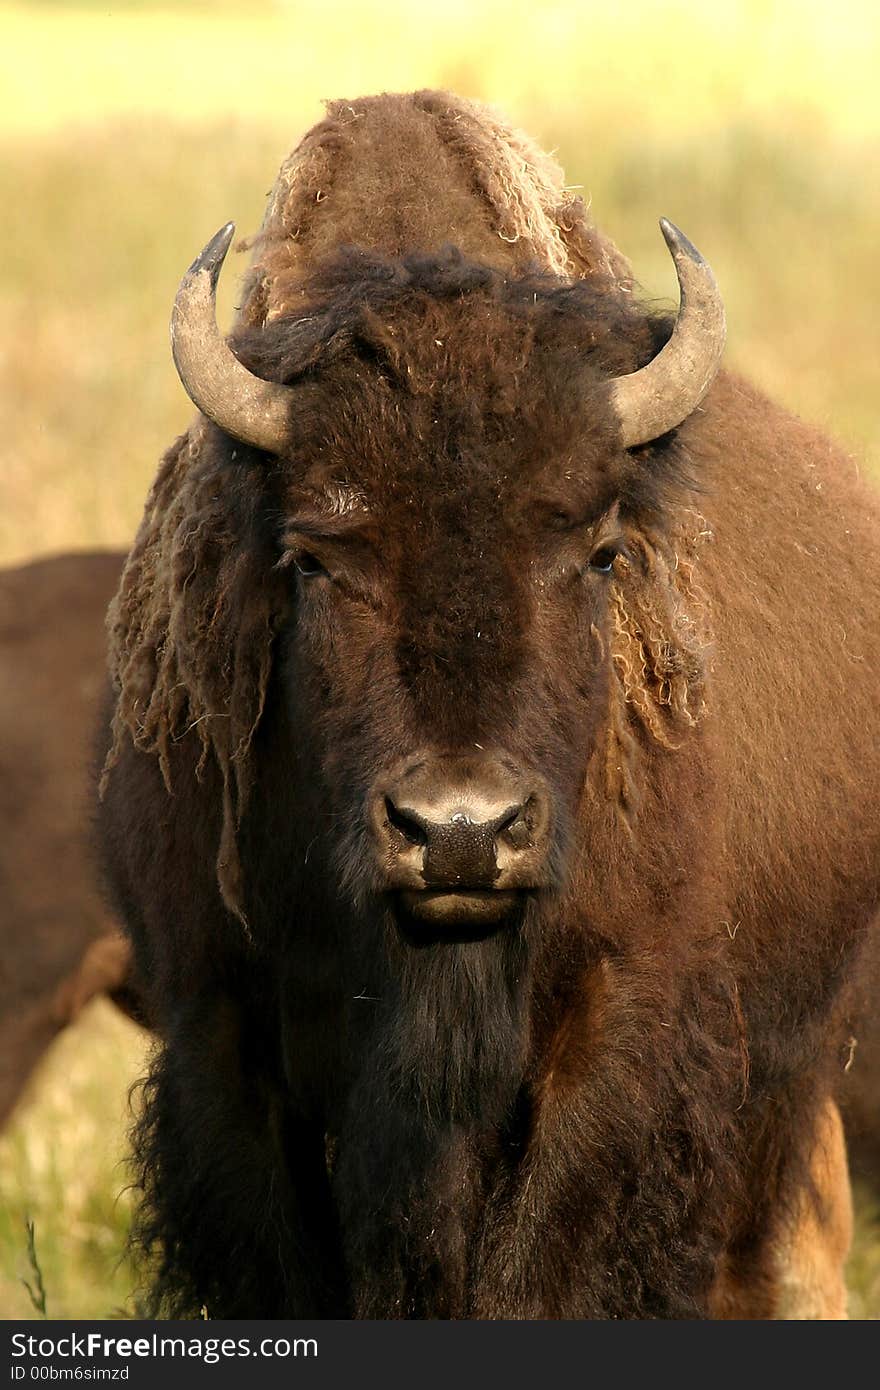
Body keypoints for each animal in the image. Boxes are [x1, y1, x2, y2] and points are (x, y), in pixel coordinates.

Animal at [95, 95, 878, 1312]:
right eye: (316, 557)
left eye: (600, 549)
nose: (460, 832)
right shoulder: (221, 1038)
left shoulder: (619, 1035)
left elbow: (541, 1267)